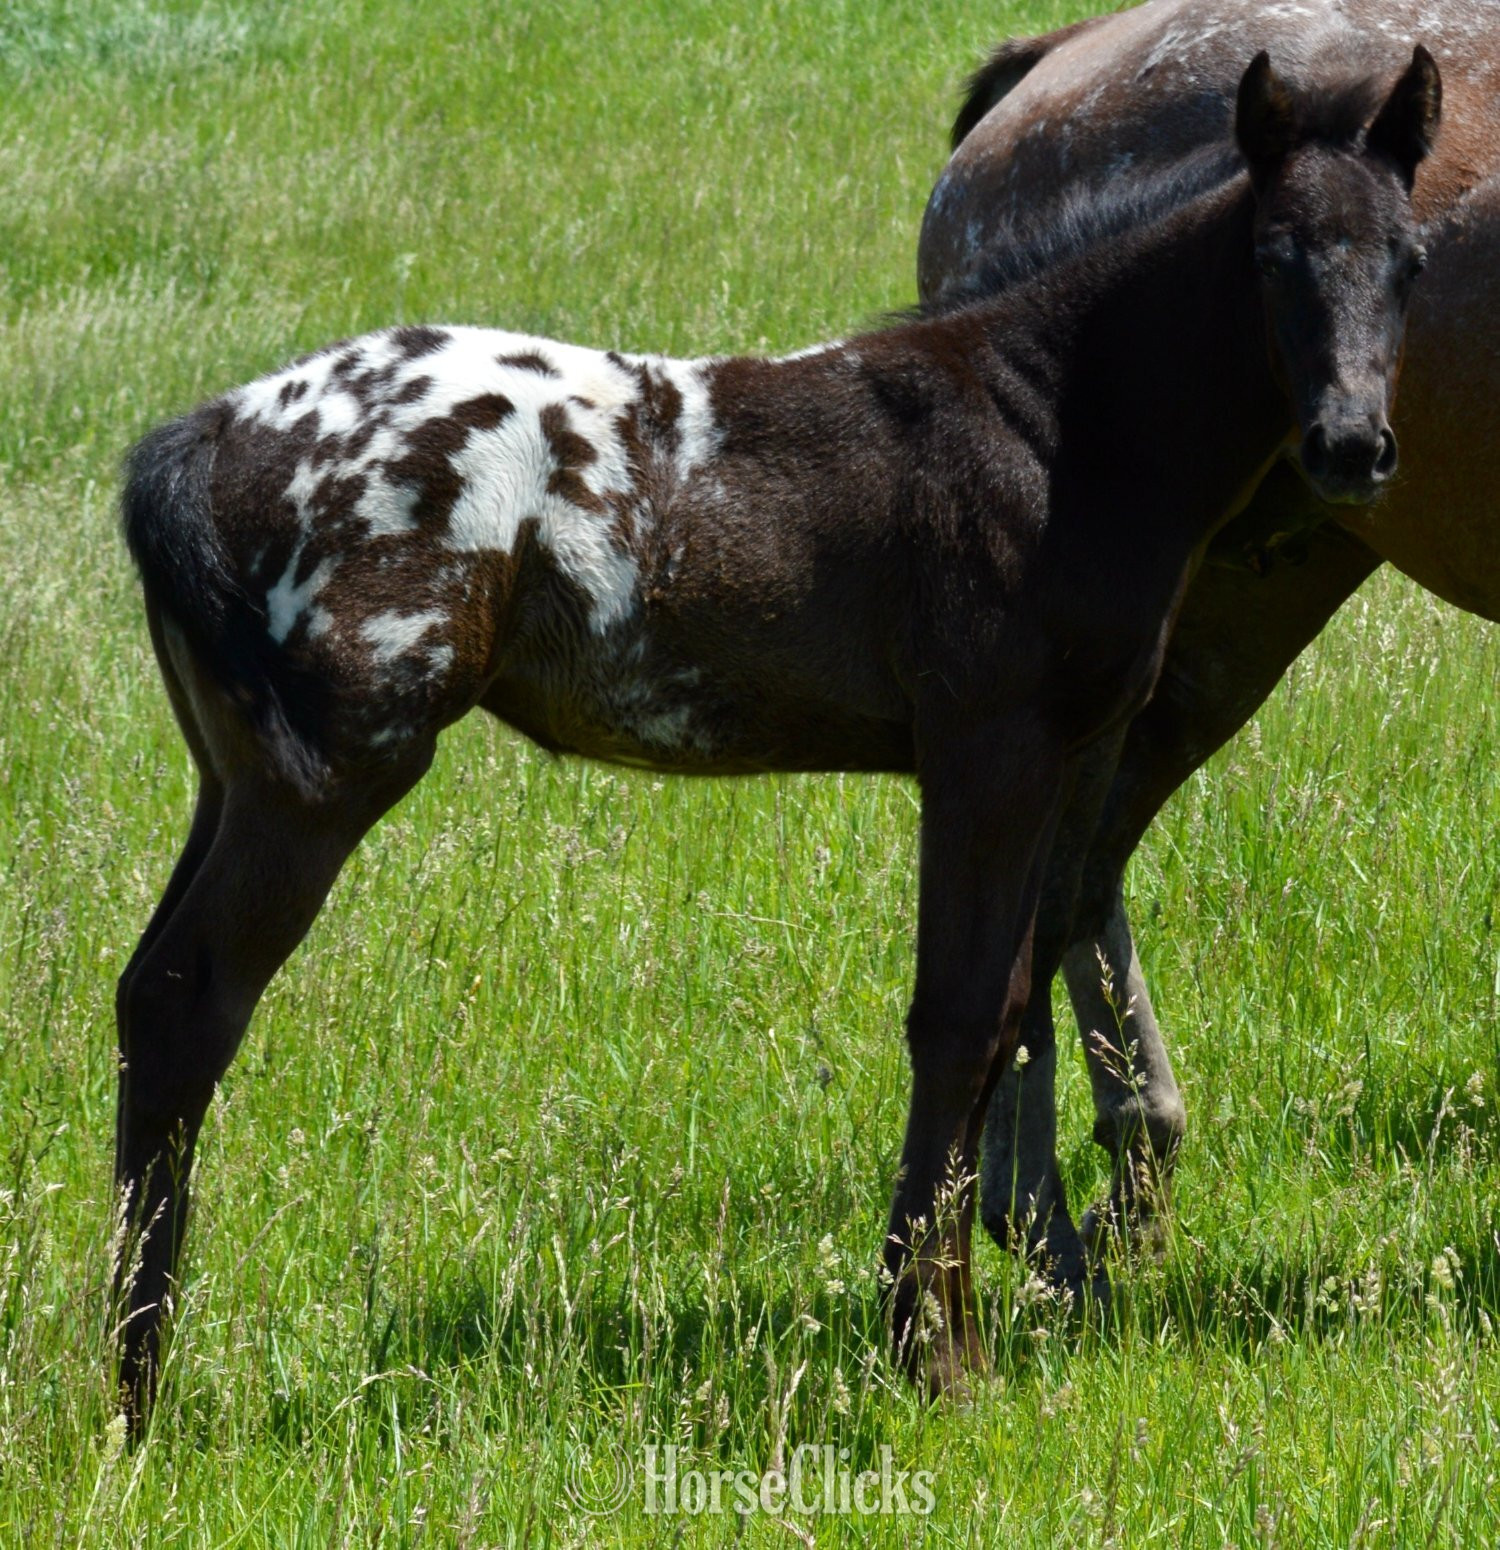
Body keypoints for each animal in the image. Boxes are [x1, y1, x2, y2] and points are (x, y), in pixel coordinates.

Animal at [112, 50, 1436, 1424]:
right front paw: (931, 1353)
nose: (1353, 447)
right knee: (190, 1001)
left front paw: (951, 1332)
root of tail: (204, 434)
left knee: (146, 994)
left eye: (1412, 260)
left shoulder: (1069, 760)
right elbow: (958, 1017)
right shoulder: (989, 751)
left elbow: (1012, 1007)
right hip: (323, 782)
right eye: (1275, 255)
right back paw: (141, 1396)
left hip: (232, 776)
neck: (1054, 426)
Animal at [918, 0, 1497, 1288]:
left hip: (1233, 613)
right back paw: (1042, 1213)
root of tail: (1050, 69)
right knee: (1049, 888)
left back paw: (1109, 1176)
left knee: (1080, 876)